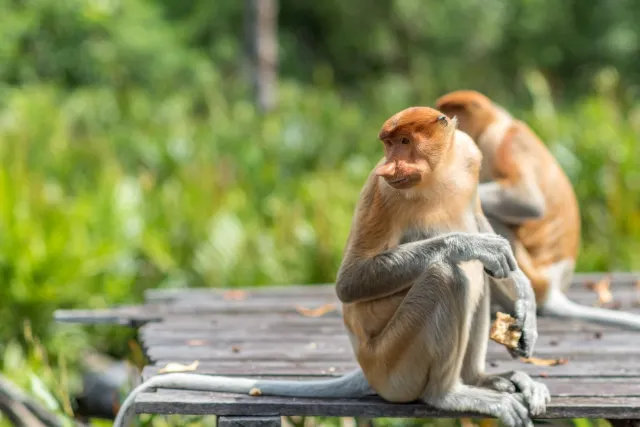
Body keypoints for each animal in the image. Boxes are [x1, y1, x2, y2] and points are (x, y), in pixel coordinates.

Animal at [112, 105, 548, 427]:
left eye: (405, 142)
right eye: (389, 146)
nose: (391, 165)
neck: (438, 176)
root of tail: (367, 371)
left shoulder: (469, 156)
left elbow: (485, 233)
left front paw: (524, 304)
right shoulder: (382, 191)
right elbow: (350, 282)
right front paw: (470, 244)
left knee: (476, 274)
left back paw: (482, 378)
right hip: (393, 365)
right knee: (449, 275)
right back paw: (450, 394)